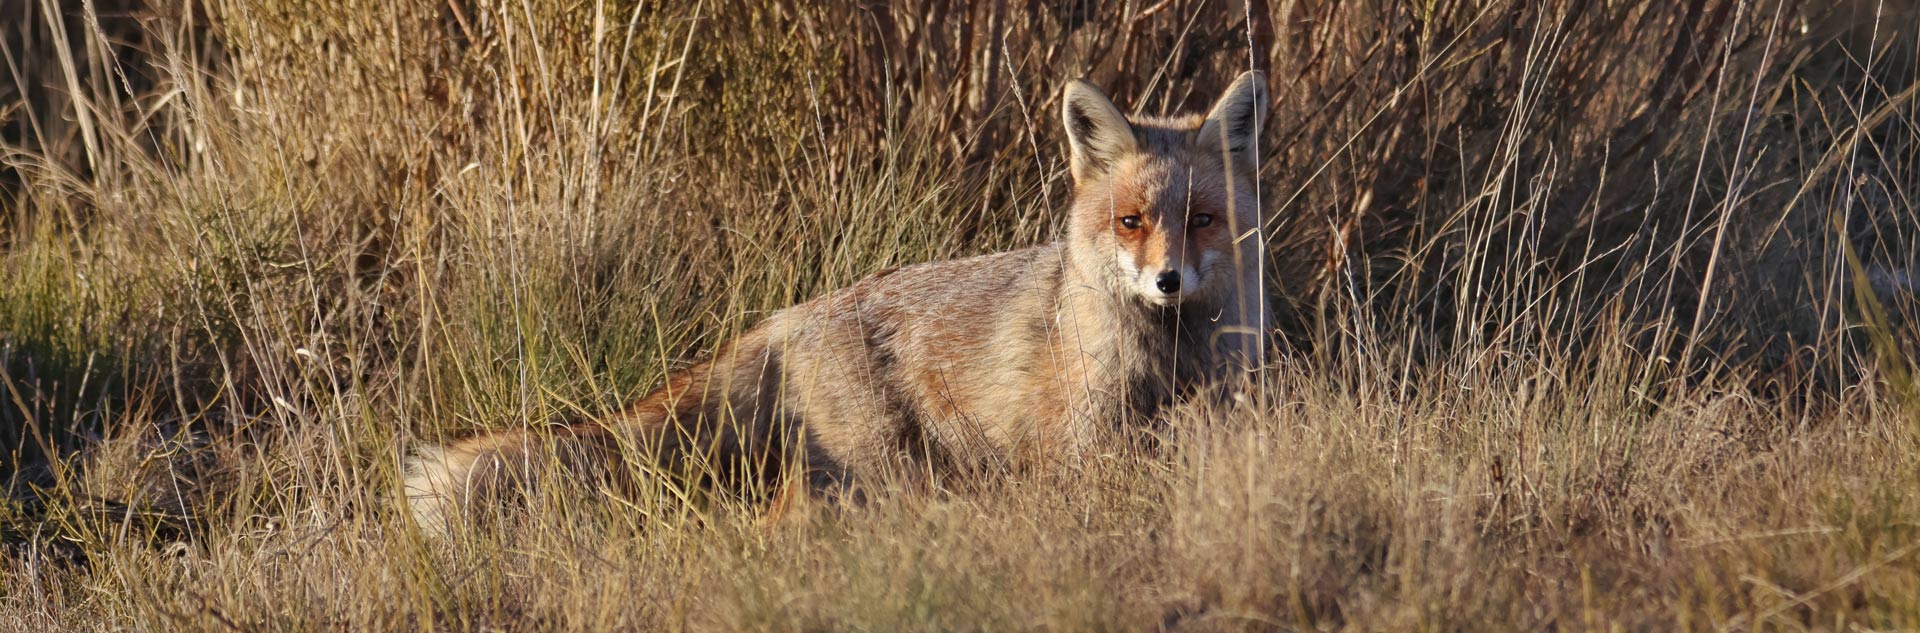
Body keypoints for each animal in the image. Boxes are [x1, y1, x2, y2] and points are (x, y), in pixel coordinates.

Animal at [404, 71, 1272, 533]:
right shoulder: (1081, 451)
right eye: (1131, 222)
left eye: (1201, 219)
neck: (1168, 355)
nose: (1166, 281)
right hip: (874, 473)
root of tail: (792, 313)